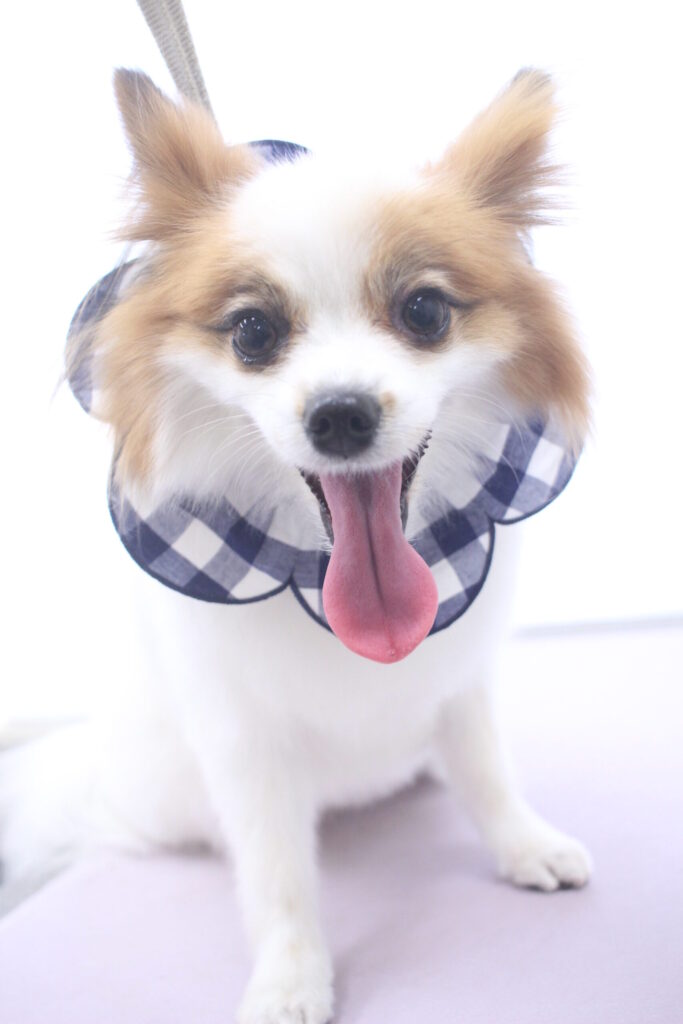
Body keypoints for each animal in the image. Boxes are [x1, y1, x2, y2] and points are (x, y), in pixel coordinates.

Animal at [1, 68, 591, 1023]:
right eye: (253, 333)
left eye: (424, 311)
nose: (339, 414)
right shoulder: (245, 742)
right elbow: (276, 873)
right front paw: (289, 977)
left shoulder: (460, 680)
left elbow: (485, 770)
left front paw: (523, 845)